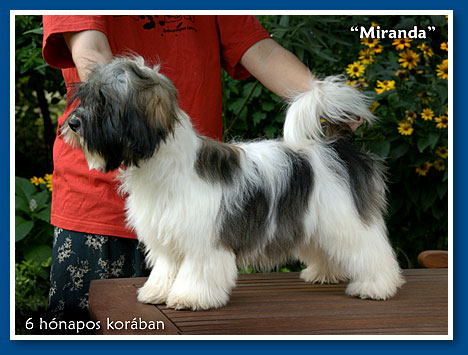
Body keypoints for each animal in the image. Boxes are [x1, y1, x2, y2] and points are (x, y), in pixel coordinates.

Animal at [63, 57, 406, 310]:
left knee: (371, 250)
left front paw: (189, 297)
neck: (166, 165)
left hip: (345, 219)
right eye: (87, 97)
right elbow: (166, 267)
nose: (73, 122)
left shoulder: (203, 240)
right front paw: (157, 291)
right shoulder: (169, 236)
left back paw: (377, 286)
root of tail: (339, 145)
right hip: (314, 221)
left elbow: (197, 271)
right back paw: (324, 273)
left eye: (105, 102)